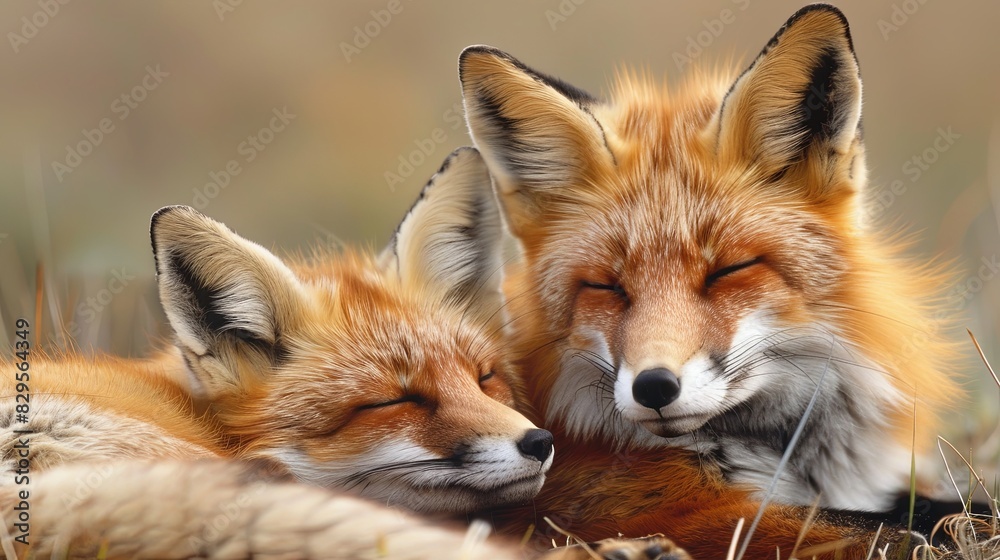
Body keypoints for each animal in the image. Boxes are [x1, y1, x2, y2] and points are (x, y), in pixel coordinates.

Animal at [458, 4, 960, 559]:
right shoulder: (644, 511)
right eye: (607, 286)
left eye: (727, 271)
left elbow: (943, 508)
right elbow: (901, 528)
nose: (654, 386)